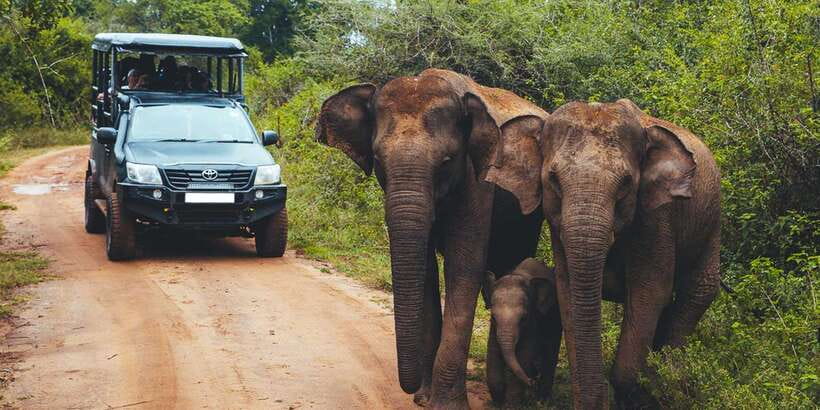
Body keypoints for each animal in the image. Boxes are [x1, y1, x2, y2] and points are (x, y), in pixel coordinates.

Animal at [315, 69, 548, 409]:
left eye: (446, 161)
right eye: (378, 160)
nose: (410, 391)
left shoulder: (477, 181)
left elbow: (463, 267)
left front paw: (445, 404)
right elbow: (424, 272)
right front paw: (425, 399)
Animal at [483, 258, 562, 406]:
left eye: (523, 318)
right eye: (493, 317)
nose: (531, 382)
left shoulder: (533, 319)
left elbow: (524, 354)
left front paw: (512, 404)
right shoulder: (493, 328)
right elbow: (493, 352)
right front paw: (499, 403)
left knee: (550, 349)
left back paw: (542, 400)